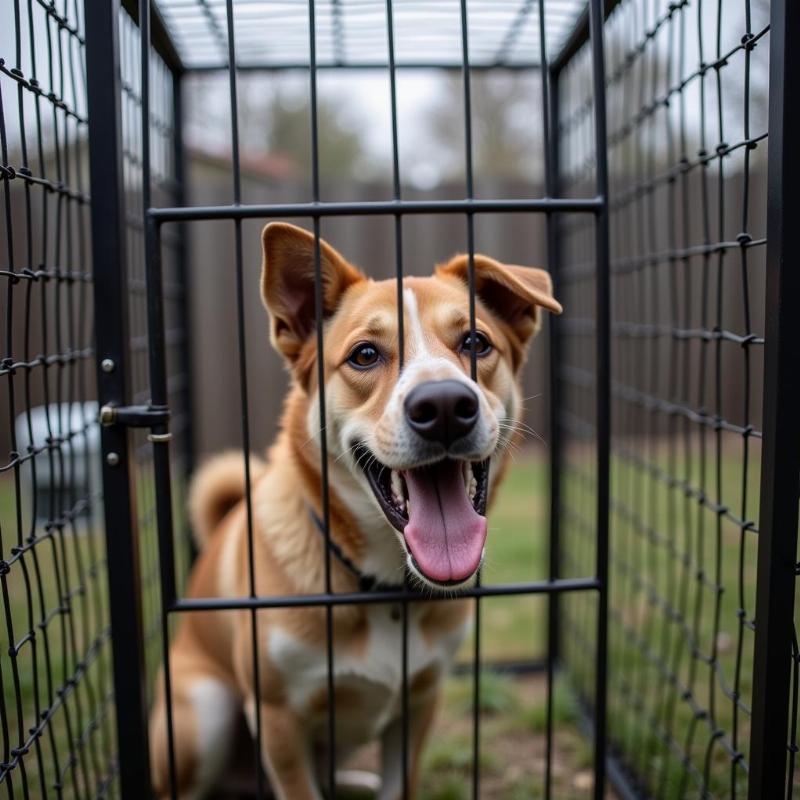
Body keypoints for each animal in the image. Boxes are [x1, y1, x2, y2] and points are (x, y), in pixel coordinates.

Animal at [150, 220, 564, 800]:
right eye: (365, 355)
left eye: (476, 342)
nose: (443, 407)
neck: (382, 586)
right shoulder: (277, 718)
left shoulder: (420, 701)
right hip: (201, 714)